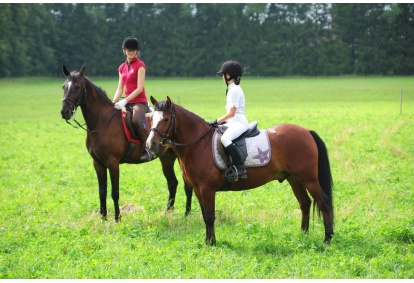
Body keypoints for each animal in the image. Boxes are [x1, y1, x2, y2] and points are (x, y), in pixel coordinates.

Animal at [59, 64, 192, 222]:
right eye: (64, 86)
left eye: (77, 87)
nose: (64, 112)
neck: (102, 121)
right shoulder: (98, 163)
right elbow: (102, 191)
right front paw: (103, 218)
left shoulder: (113, 162)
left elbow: (114, 192)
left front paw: (117, 218)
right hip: (166, 157)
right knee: (172, 183)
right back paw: (168, 213)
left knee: (187, 185)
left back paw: (187, 214)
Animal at [146, 97, 334, 246]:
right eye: (151, 119)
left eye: (165, 119)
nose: (150, 144)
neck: (198, 143)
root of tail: (307, 132)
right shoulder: (198, 190)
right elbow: (204, 215)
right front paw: (207, 241)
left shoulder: (207, 189)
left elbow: (210, 216)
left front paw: (212, 243)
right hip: (294, 179)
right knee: (305, 203)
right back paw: (303, 235)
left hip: (309, 179)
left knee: (323, 203)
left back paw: (327, 239)